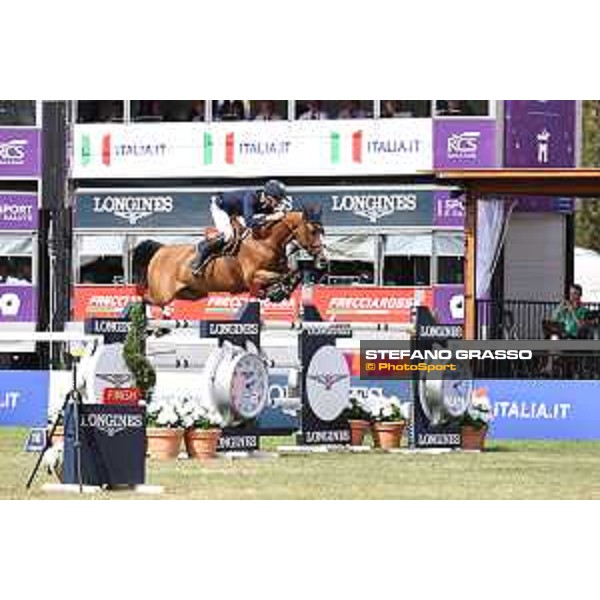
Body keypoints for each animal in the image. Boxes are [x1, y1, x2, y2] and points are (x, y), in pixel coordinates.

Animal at [132, 209, 326, 308]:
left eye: (321, 230)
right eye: (313, 231)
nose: (323, 260)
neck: (267, 242)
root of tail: (161, 250)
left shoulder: (280, 269)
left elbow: (294, 273)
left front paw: (279, 293)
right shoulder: (253, 276)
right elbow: (281, 276)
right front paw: (277, 292)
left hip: (191, 293)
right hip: (162, 294)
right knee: (145, 299)